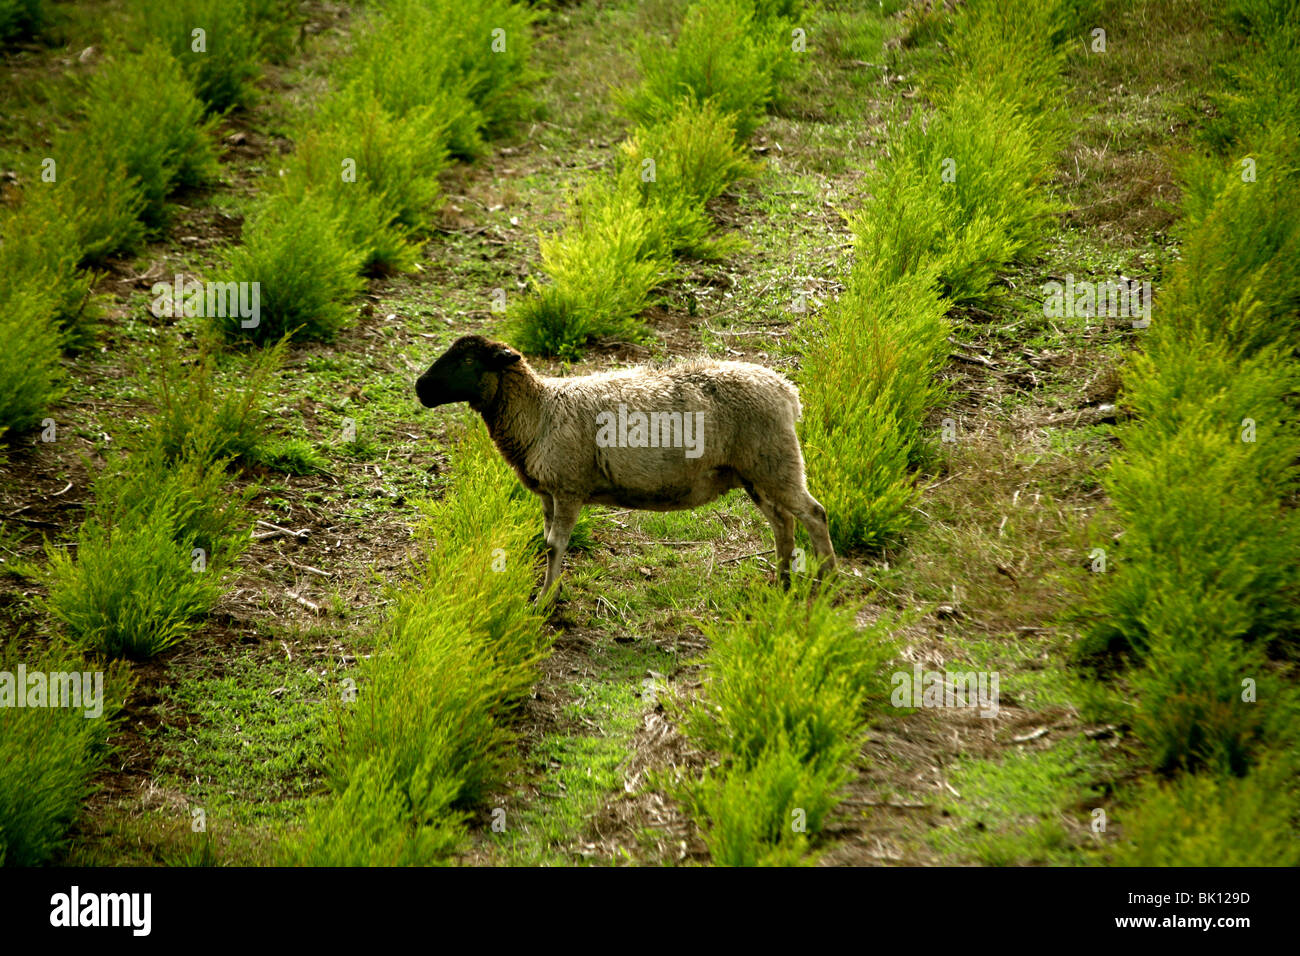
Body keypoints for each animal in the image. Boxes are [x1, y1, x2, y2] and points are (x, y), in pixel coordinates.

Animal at [421, 335, 837, 600]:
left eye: (468, 360)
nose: (419, 388)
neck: (539, 410)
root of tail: (787, 391)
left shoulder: (569, 488)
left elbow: (555, 546)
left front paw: (545, 600)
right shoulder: (549, 493)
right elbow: (547, 541)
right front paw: (553, 590)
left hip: (776, 461)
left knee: (814, 514)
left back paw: (827, 581)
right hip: (755, 471)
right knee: (783, 522)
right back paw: (782, 582)